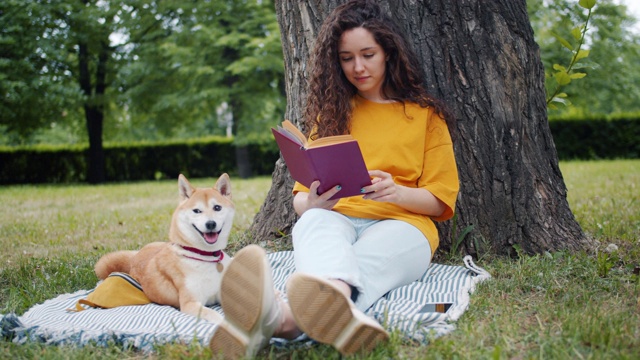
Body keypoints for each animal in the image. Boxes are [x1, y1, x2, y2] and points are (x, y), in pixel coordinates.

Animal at [95, 173, 235, 322]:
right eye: (197, 211)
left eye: (217, 208)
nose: (210, 224)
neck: (205, 257)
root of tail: (134, 258)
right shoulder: (190, 303)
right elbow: (218, 317)